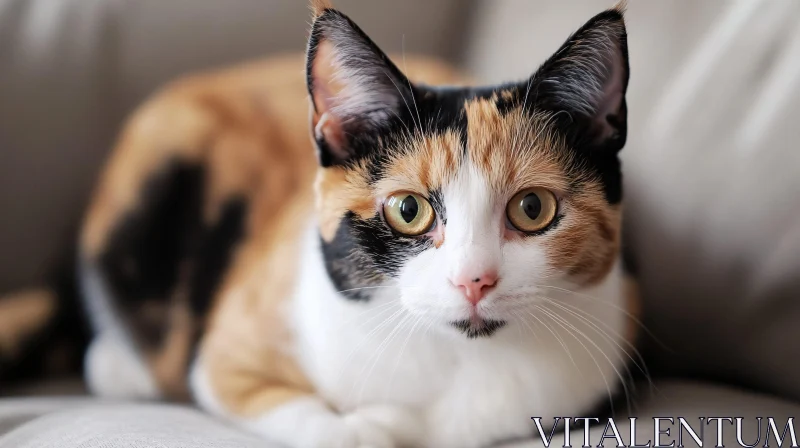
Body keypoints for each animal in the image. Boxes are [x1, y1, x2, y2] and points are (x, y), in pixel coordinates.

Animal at [3, 0, 640, 448]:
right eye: (408, 210)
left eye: (532, 209)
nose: (473, 281)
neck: (457, 363)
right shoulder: (230, 349)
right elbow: (297, 410)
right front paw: (369, 426)